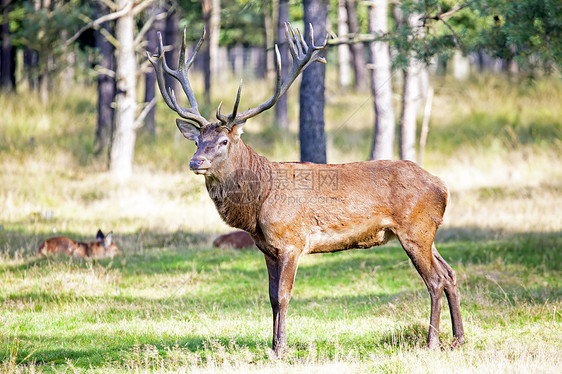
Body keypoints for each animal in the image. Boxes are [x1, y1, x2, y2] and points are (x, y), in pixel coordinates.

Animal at [147, 22, 462, 356]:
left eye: (223, 141)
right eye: (197, 140)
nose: (195, 161)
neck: (258, 203)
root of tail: (443, 186)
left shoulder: (291, 242)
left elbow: (283, 296)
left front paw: (280, 349)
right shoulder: (267, 248)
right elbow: (271, 298)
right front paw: (273, 344)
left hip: (415, 229)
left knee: (435, 280)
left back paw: (432, 343)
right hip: (427, 231)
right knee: (450, 273)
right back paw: (458, 338)